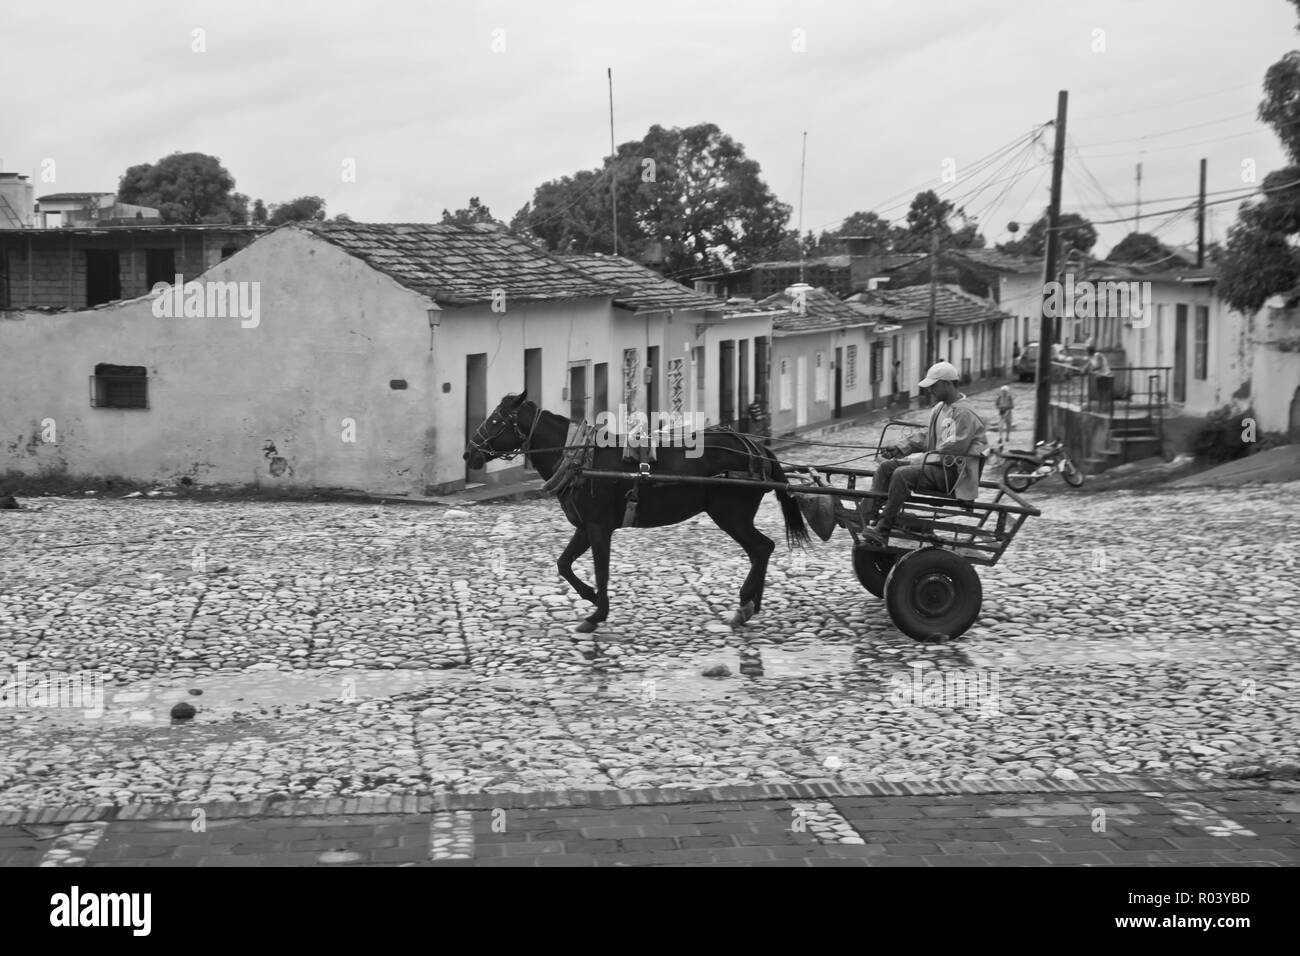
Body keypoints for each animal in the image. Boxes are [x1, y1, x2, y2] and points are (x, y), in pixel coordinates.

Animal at [462, 392, 806, 632]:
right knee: (761, 550)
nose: (469, 453)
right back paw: (751, 602)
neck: (581, 459)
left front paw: (597, 612)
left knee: (762, 547)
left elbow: (601, 569)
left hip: (731, 515)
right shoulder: (584, 527)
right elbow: (564, 564)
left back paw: (746, 602)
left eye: (496, 421)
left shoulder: (599, 527)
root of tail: (755, 447)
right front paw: (590, 597)